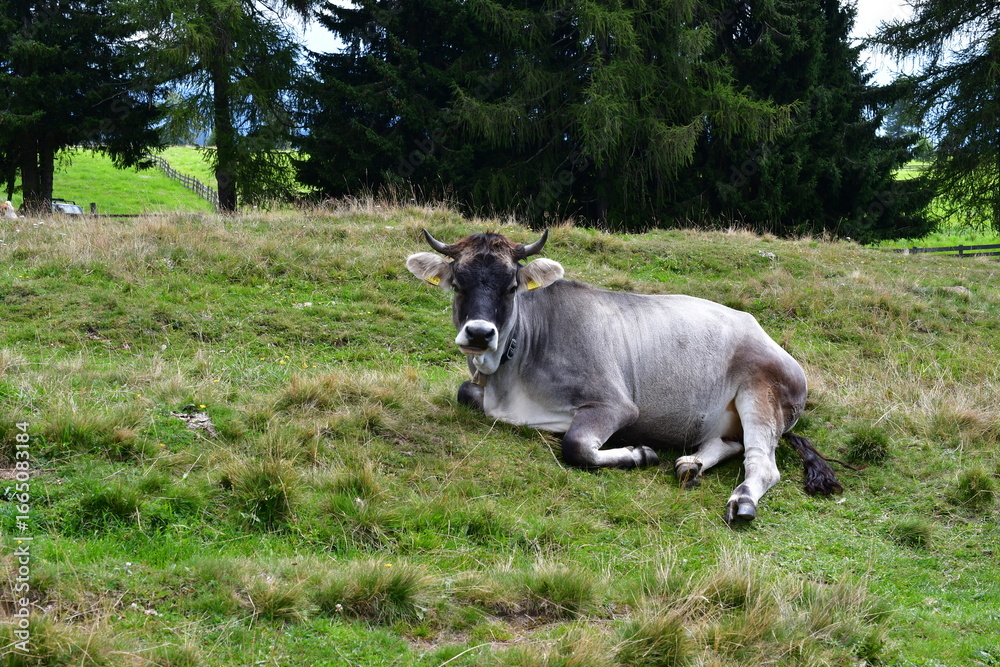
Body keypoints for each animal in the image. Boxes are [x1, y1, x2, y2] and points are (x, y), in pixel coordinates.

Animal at [406, 229, 842, 523]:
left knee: (762, 463)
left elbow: (576, 445)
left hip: (761, 393)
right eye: (457, 284)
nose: (480, 333)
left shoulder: (616, 404)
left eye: (512, 286)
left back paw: (742, 500)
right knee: (728, 444)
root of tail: (771, 340)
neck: (509, 377)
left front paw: (638, 453)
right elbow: (464, 392)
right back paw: (691, 465)